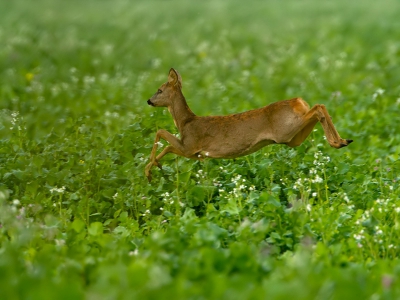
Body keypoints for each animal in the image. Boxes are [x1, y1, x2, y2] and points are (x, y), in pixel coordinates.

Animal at [145, 68, 354, 180]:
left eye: (160, 90)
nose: (149, 101)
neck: (185, 122)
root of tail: (299, 102)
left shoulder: (190, 146)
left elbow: (162, 134)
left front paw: (149, 170)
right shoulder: (192, 151)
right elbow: (166, 143)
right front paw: (155, 167)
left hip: (285, 131)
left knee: (318, 107)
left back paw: (338, 142)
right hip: (293, 138)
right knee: (319, 108)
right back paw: (342, 141)